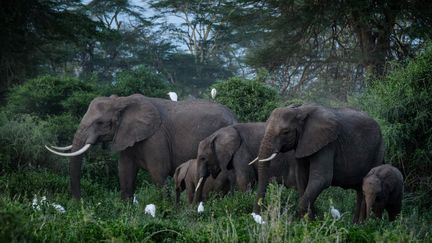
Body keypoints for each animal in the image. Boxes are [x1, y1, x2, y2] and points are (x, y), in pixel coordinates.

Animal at [46, 93, 236, 199]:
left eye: (100, 123)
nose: (80, 203)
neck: (122, 102)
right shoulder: (127, 138)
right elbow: (125, 172)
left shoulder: (156, 137)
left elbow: (158, 172)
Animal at [255, 104, 384, 222]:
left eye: (285, 132)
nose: (258, 217)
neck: (299, 111)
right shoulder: (302, 144)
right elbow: (301, 177)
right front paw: (310, 220)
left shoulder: (327, 145)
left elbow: (321, 179)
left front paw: (305, 221)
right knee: (360, 190)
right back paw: (356, 224)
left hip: (378, 152)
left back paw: (362, 225)